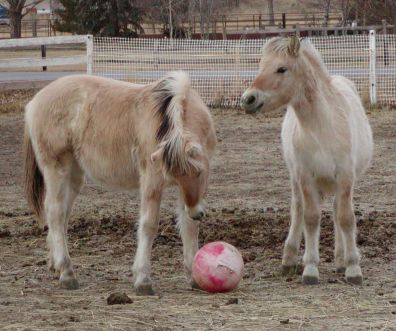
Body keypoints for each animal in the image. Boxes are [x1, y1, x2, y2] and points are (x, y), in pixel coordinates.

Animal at [24, 72, 217, 296]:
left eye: (200, 172)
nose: (197, 212)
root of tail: (34, 102)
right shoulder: (152, 178)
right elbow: (149, 224)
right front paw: (143, 280)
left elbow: (189, 226)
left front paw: (194, 276)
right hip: (56, 169)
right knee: (55, 212)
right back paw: (67, 273)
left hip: (73, 175)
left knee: (61, 214)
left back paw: (56, 265)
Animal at [240, 36, 372, 286]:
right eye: (261, 66)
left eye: (282, 69)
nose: (248, 99)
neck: (323, 127)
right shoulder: (305, 178)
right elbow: (310, 218)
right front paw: (310, 268)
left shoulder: (345, 178)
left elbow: (346, 218)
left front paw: (353, 267)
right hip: (295, 179)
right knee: (298, 210)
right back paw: (289, 259)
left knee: (336, 212)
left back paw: (340, 260)